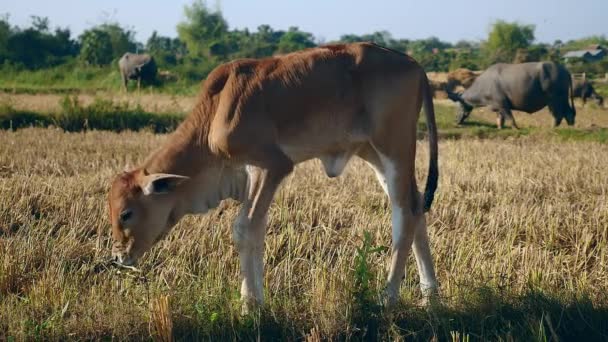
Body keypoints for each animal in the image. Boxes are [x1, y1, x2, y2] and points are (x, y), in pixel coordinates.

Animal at [446, 61, 576, 128]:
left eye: (459, 105)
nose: (455, 120)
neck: (484, 85)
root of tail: (564, 70)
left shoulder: (503, 105)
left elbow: (510, 118)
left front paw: (516, 128)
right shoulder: (498, 107)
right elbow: (500, 120)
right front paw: (500, 128)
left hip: (554, 100)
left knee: (558, 115)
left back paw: (552, 128)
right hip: (563, 99)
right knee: (569, 113)